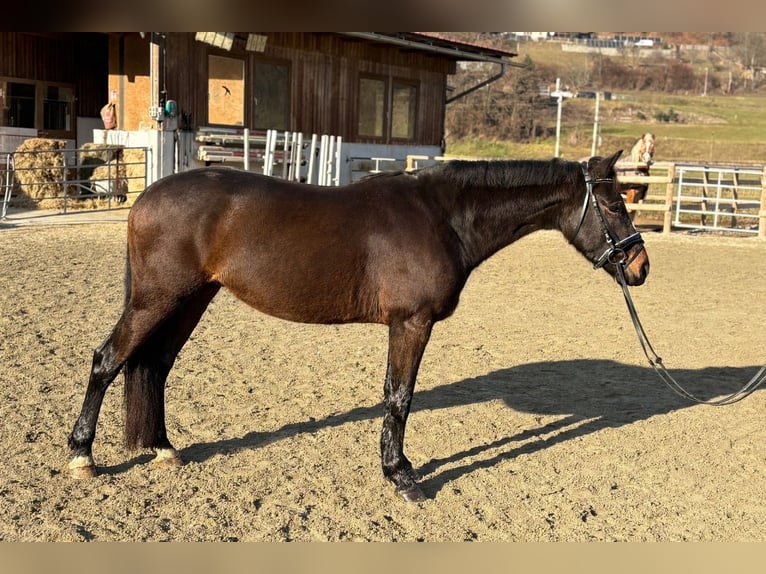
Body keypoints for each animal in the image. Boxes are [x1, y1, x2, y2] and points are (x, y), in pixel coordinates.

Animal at [66, 150, 649, 503]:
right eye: (615, 204)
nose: (640, 266)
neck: (441, 216)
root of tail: (145, 198)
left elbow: (396, 395)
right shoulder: (411, 324)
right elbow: (400, 397)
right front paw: (402, 476)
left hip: (190, 299)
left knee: (155, 366)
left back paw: (164, 448)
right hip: (157, 299)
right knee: (107, 360)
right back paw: (81, 457)